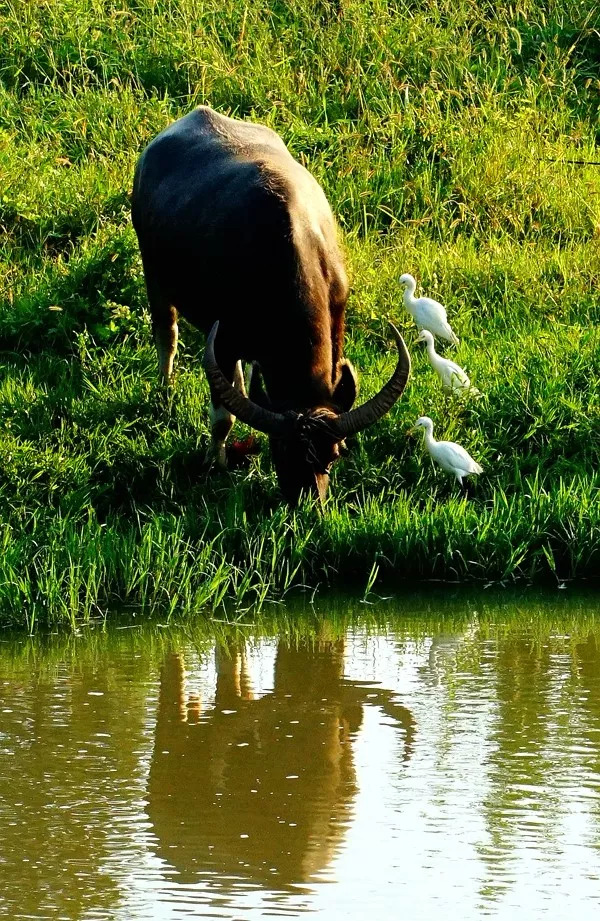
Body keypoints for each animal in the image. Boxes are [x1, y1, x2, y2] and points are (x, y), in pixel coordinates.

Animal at [132, 107, 410, 504]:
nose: (306, 503)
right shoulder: (222, 341)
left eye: (332, 454)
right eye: (280, 450)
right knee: (166, 334)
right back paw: (165, 388)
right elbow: (223, 417)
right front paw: (215, 463)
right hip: (154, 274)